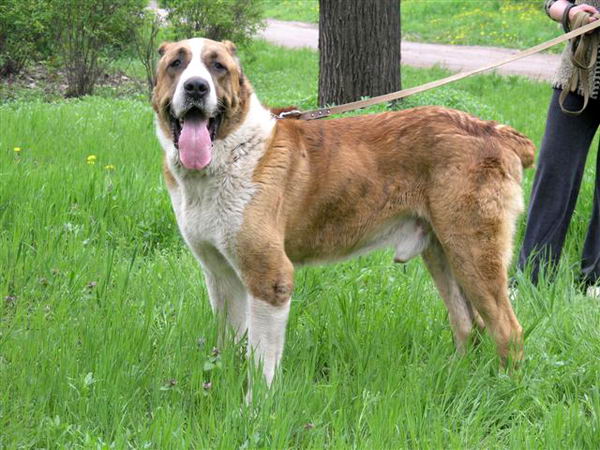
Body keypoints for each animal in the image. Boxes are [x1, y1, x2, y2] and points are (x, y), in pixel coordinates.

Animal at [151, 37, 536, 386]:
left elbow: (262, 362)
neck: (231, 152)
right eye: (176, 64)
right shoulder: (221, 277)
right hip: (442, 253)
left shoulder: (271, 279)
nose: (196, 86)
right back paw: (452, 379)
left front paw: (256, 407)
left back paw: (506, 390)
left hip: (472, 252)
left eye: (217, 66)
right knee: (467, 323)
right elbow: (231, 343)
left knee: (508, 330)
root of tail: (495, 131)